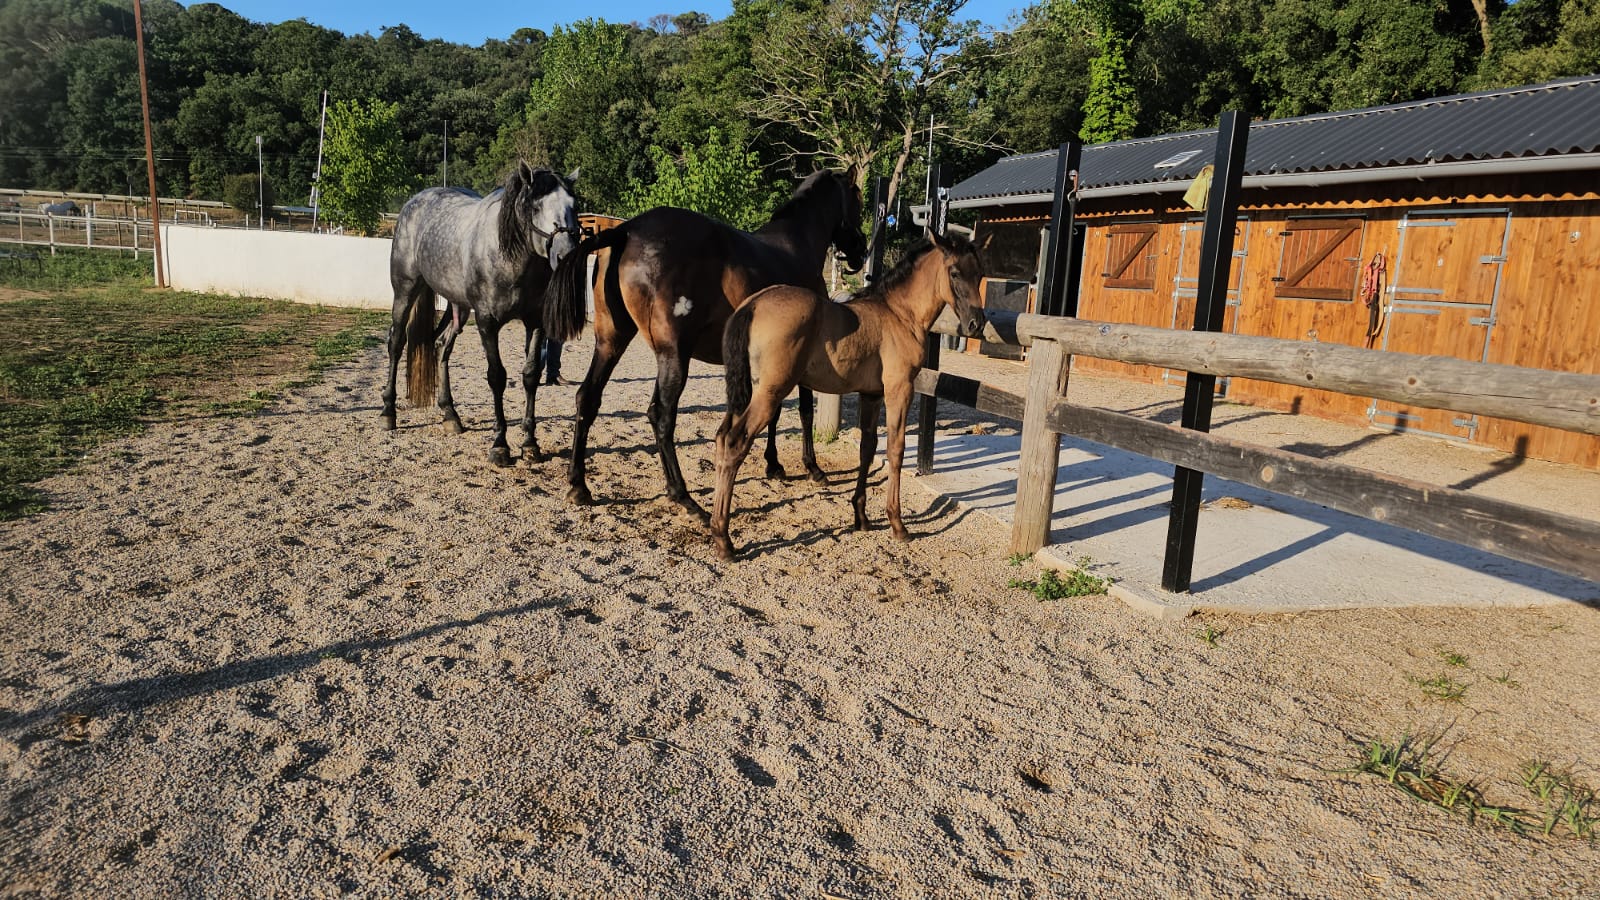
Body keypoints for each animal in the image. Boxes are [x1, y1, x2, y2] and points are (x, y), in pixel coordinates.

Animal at [381, 162, 581, 466]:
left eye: (574, 205)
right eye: (535, 207)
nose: (566, 255)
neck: (509, 258)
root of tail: (414, 202)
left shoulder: (536, 323)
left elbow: (531, 375)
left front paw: (529, 443)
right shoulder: (488, 323)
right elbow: (496, 377)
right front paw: (500, 445)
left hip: (459, 308)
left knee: (441, 346)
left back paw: (450, 414)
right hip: (405, 291)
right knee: (396, 343)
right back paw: (388, 412)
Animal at [542, 170, 868, 520]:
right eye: (857, 198)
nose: (861, 251)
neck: (796, 248)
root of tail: (626, 231)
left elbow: (776, 412)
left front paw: (774, 464)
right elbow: (804, 410)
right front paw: (812, 467)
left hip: (611, 342)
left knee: (587, 398)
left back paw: (579, 485)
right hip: (674, 354)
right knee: (661, 414)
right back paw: (683, 496)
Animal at [709, 230, 986, 561]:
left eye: (980, 273)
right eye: (954, 272)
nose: (977, 324)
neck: (899, 314)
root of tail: (753, 304)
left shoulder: (871, 394)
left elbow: (868, 448)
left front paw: (861, 516)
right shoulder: (899, 390)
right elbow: (895, 449)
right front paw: (897, 524)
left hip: (747, 390)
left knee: (721, 437)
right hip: (770, 392)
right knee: (735, 442)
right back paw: (724, 539)